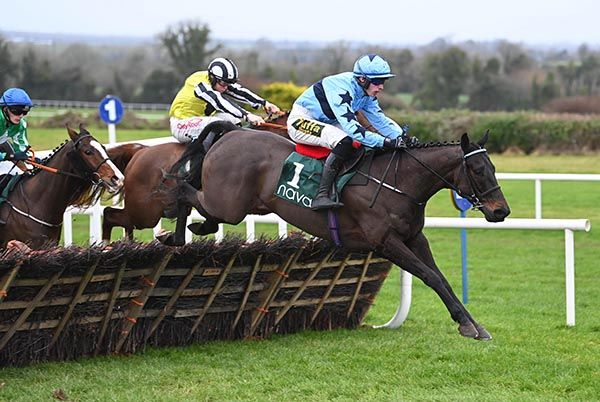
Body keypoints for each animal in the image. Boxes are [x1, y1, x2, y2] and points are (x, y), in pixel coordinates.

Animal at [162, 123, 508, 340]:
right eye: (478, 170)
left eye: (493, 168)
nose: (501, 211)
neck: (399, 182)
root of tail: (233, 133)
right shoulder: (385, 242)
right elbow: (430, 276)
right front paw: (468, 326)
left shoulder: (413, 237)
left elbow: (441, 279)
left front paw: (472, 324)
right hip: (228, 203)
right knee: (184, 190)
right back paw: (175, 234)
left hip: (241, 204)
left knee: (197, 200)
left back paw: (191, 229)